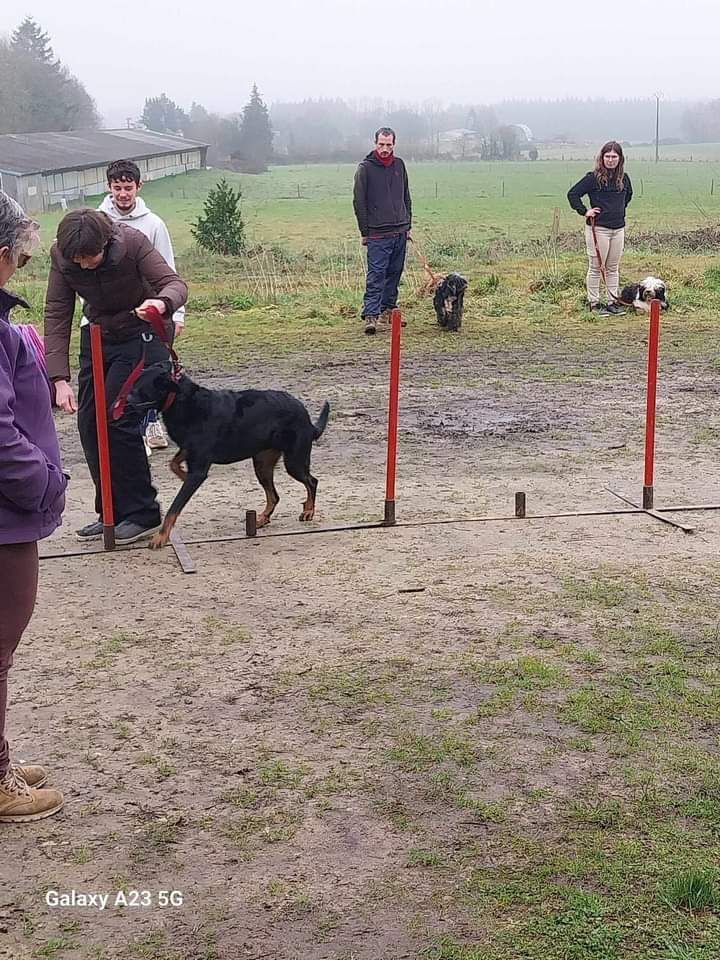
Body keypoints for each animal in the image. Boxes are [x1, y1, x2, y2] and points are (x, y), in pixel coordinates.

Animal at [128, 366, 330, 552]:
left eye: (140, 389)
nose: (125, 403)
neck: (184, 401)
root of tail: (307, 418)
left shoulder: (199, 468)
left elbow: (174, 507)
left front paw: (161, 537)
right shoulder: (189, 452)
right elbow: (173, 464)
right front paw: (182, 475)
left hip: (294, 462)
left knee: (312, 481)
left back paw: (308, 510)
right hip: (262, 464)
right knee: (274, 495)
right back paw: (262, 518)